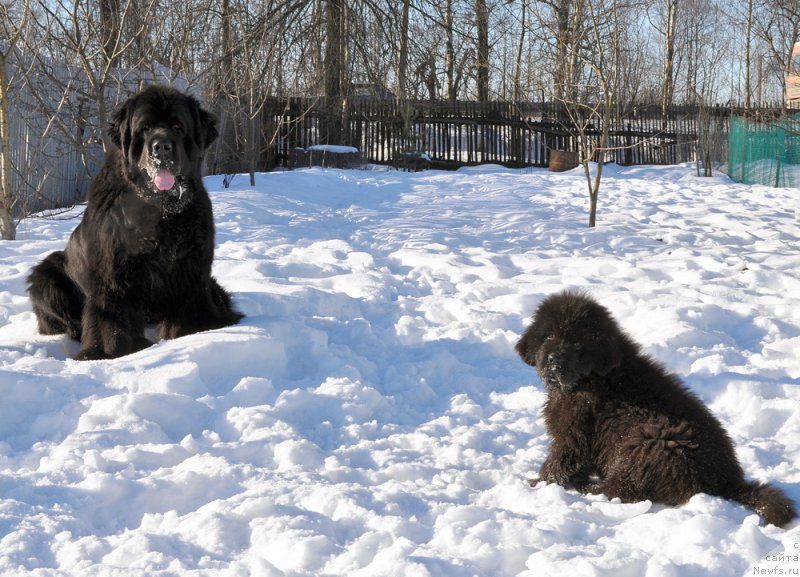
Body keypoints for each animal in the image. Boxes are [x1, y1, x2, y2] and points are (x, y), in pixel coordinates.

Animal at [28, 84, 242, 360]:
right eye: (146, 128)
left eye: (178, 127)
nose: (162, 147)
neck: (159, 212)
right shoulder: (111, 279)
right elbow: (111, 320)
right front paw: (111, 351)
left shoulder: (192, 271)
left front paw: (196, 333)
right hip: (47, 273)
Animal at [516, 288, 796, 528]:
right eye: (548, 335)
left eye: (577, 344)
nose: (554, 360)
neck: (595, 377)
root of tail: (728, 482)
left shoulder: (574, 430)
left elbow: (561, 459)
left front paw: (539, 483)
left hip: (648, 440)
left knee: (624, 488)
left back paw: (589, 490)